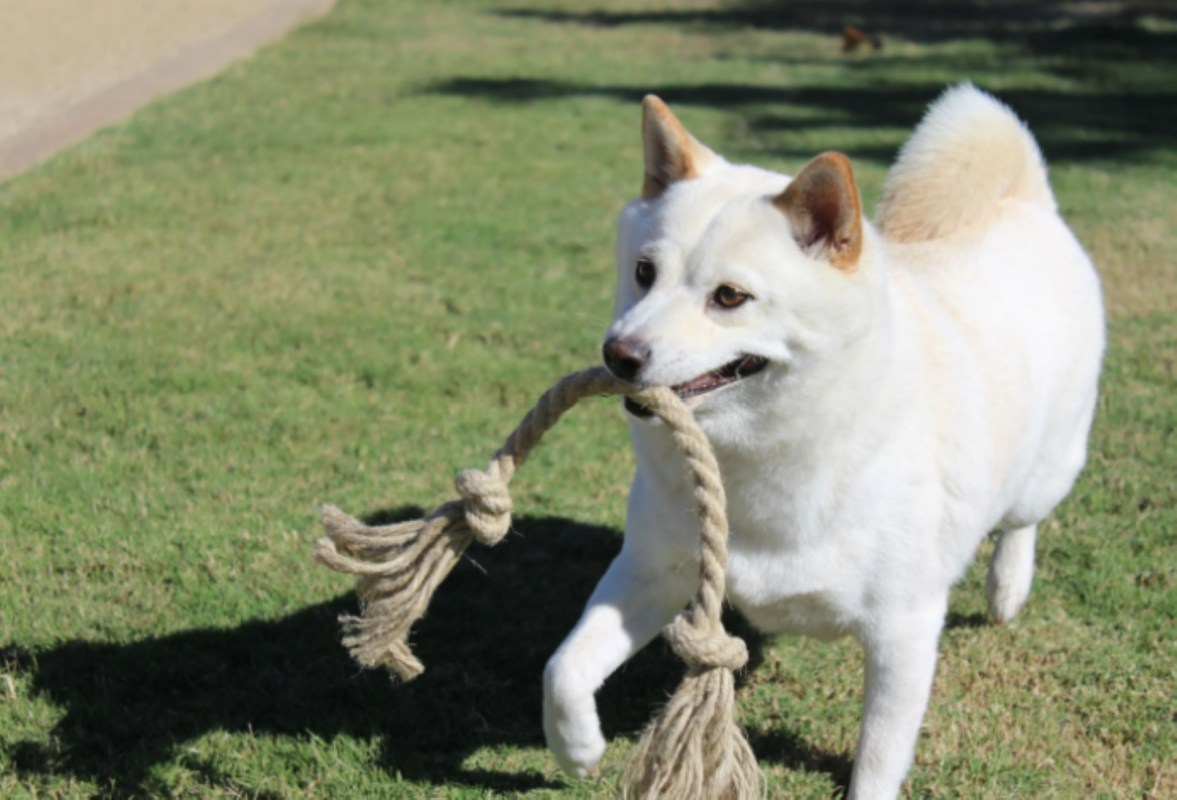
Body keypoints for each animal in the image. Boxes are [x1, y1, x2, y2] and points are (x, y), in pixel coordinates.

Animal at [539, 84, 1101, 795]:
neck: (761, 457)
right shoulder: (653, 571)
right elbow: (562, 668)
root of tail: (1021, 201)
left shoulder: (904, 632)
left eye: (730, 297)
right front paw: (578, 749)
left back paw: (1006, 588)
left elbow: (879, 760)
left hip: (1048, 469)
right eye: (643, 272)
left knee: (1022, 520)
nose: (618, 355)